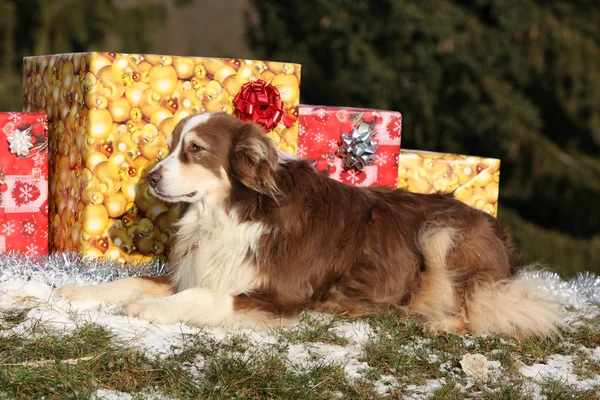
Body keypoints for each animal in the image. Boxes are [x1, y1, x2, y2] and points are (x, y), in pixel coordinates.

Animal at [58, 111, 564, 338]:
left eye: (195, 150)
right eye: (171, 147)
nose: (150, 177)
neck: (236, 213)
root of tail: (505, 245)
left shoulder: (282, 294)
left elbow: (202, 298)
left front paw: (153, 309)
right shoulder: (199, 268)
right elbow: (130, 282)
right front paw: (78, 290)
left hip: (441, 231)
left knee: (475, 306)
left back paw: (435, 321)